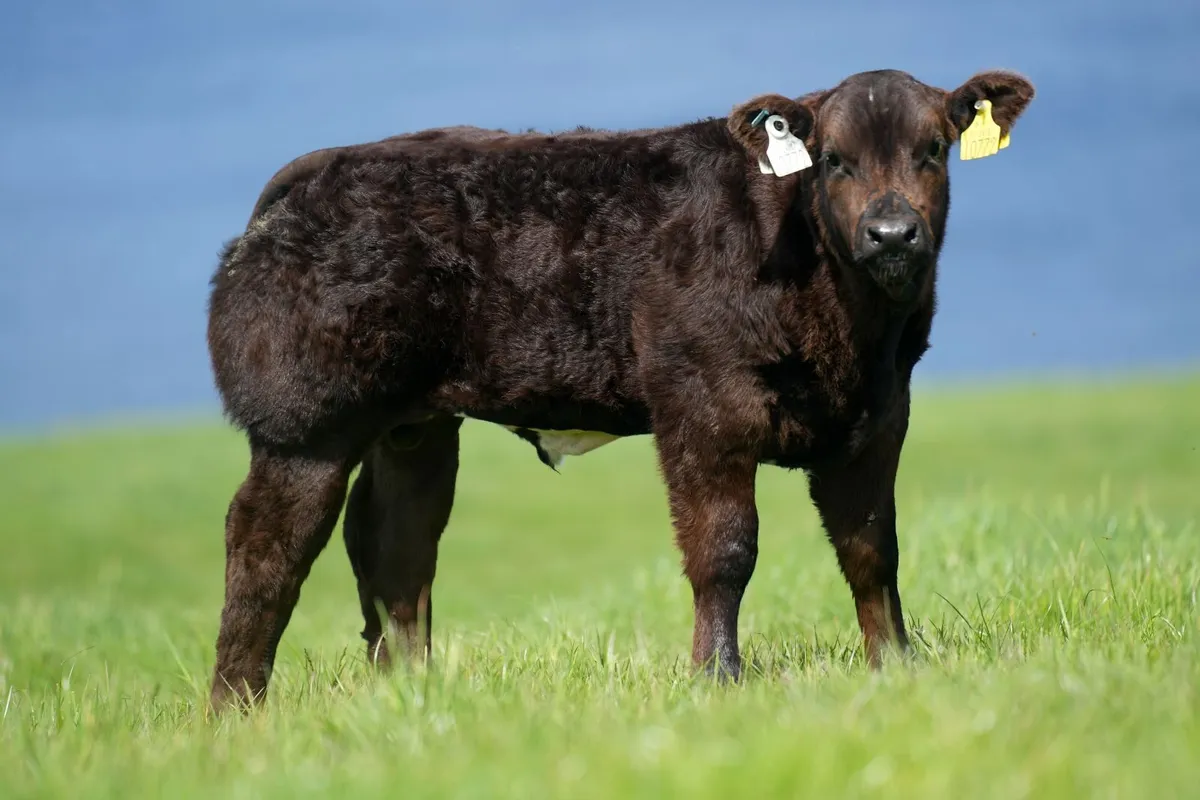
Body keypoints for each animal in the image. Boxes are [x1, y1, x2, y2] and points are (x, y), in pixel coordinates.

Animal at [205, 68, 1035, 711]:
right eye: (832, 160)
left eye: (934, 150)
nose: (891, 233)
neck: (852, 335)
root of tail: (318, 168)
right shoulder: (701, 404)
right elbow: (725, 550)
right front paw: (717, 678)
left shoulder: (879, 414)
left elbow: (871, 549)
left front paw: (896, 667)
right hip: (305, 424)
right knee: (266, 549)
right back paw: (236, 710)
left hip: (414, 424)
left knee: (395, 544)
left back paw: (413, 693)